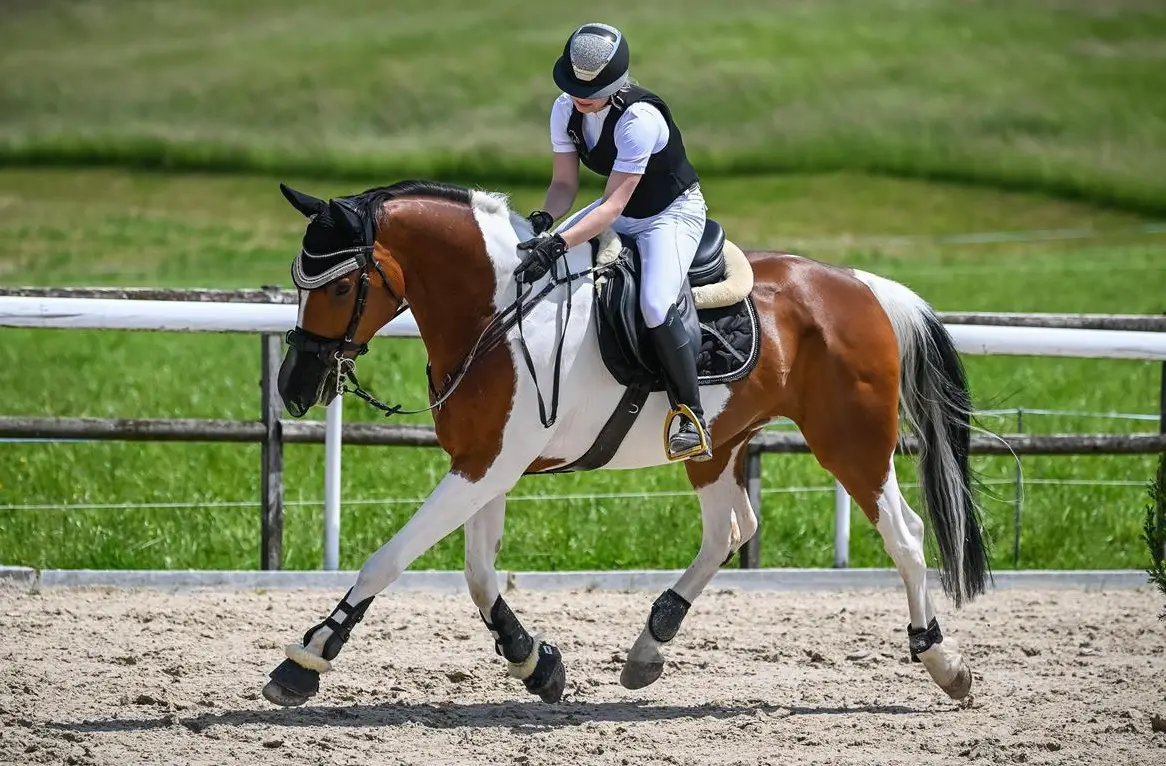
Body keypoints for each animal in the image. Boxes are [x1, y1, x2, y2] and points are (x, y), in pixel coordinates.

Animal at [262, 178, 991, 708]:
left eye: (340, 286)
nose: (294, 387)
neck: (496, 312)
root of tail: (862, 285)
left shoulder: (487, 466)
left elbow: (386, 561)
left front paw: (308, 657)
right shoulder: (484, 465)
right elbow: (477, 574)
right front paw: (536, 663)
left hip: (851, 444)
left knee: (904, 535)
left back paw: (941, 658)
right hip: (718, 445)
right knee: (729, 529)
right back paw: (650, 643)